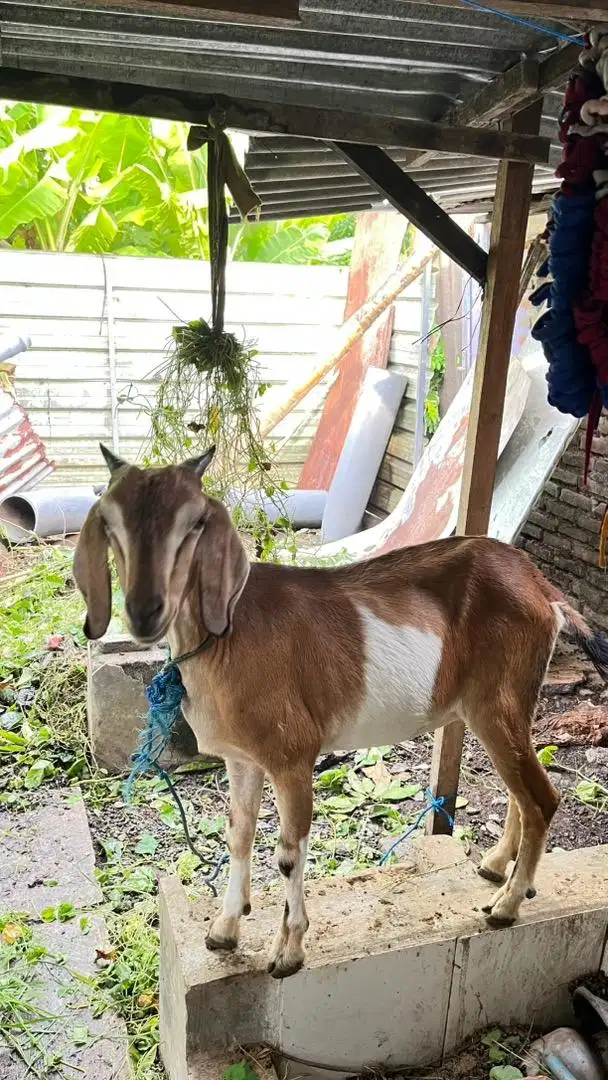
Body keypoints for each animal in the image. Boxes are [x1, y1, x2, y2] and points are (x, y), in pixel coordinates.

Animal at [75, 447, 608, 980]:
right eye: (111, 524)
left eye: (194, 524)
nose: (144, 611)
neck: (228, 637)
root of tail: (541, 587)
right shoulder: (241, 758)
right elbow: (237, 834)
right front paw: (224, 930)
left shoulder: (292, 756)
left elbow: (289, 854)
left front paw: (288, 953)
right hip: (502, 710)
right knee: (521, 789)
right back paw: (496, 866)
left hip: (497, 704)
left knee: (542, 798)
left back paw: (506, 905)